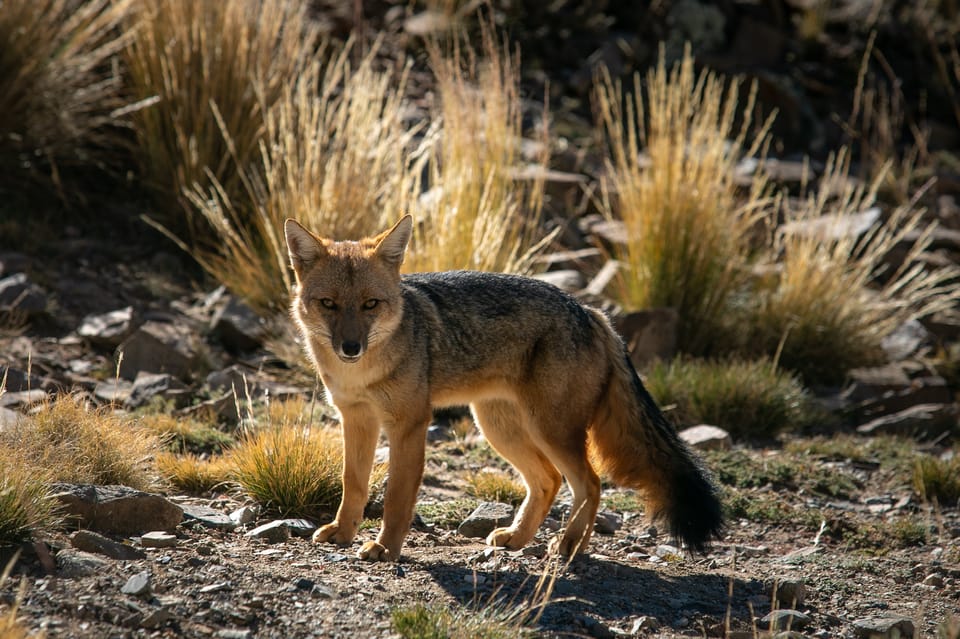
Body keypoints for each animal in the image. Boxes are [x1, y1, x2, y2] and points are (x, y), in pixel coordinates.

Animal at [284, 218, 720, 564]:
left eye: (371, 304)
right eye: (329, 304)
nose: (350, 347)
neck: (360, 374)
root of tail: (590, 311)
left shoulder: (409, 425)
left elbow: (396, 499)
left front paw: (386, 548)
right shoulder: (356, 419)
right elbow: (353, 484)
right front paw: (343, 532)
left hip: (550, 431)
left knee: (591, 484)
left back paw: (570, 546)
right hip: (500, 428)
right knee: (549, 481)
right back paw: (519, 538)